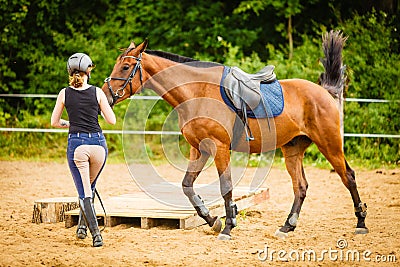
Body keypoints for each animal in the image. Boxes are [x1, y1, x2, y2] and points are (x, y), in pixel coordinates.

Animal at [101, 33, 368, 241]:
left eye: (125, 67)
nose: (106, 96)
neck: (197, 91)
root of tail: (325, 92)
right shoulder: (199, 149)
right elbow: (187, 186)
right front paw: (213, 220)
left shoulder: (219, 148)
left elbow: (226, 187)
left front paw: (228, 227)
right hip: (292, 149)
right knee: (300, 186)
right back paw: (287, 227)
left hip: (330, 144)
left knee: (348, 177)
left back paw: (361, 223)